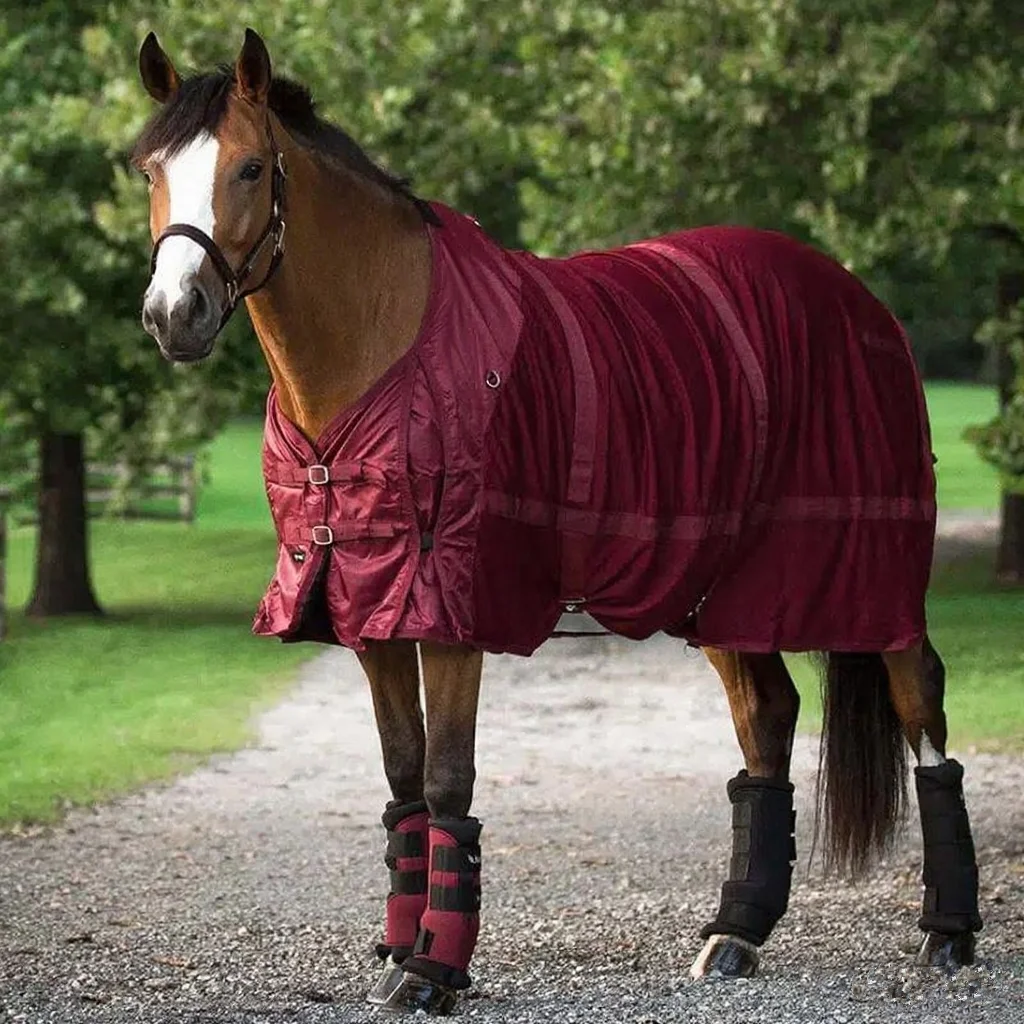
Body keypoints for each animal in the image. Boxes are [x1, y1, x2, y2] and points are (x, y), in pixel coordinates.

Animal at [133, 29, 982, 1016]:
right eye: (150, 170)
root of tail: (857, 298)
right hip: (725, 589)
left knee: (920, 704)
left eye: (250, 167)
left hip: (870, 572)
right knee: (767, 720)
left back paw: (948, 933)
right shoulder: (364, 601)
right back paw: (736, 932)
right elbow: (402, 776)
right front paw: (404, 946)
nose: (174, 314)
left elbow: (447, 779)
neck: (384, 343)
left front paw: (434, 969)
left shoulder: (453, 604)